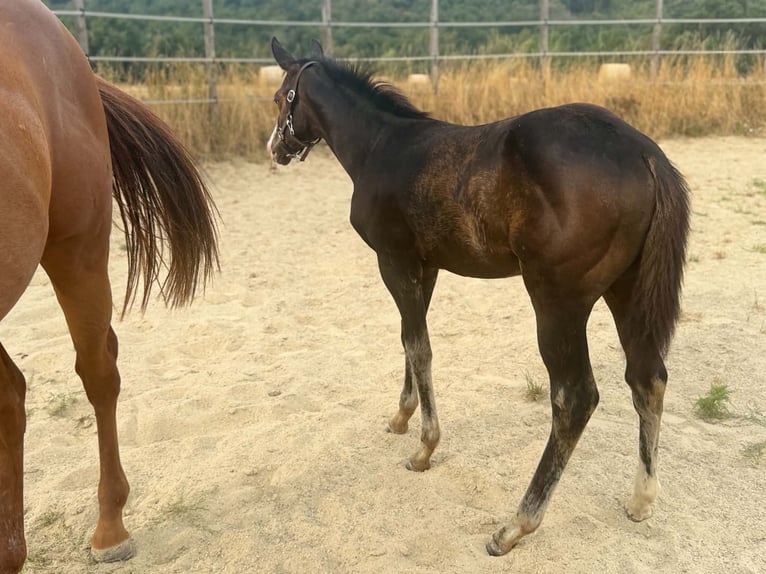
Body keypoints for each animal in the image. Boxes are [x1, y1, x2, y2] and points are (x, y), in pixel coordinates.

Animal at [267, 38, 690, 555]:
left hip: (558, 303)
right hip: (626, 292)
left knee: (575, 398)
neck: (380, 147)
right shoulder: (423, 267)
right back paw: (641, 499)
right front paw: (401, 416)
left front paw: (424, 449)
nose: (275, 148)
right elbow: (409, 340)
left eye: (279, 97)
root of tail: (643, 153)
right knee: (648, 379)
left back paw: (515, 526)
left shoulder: (393, 261)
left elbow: (418, 346)